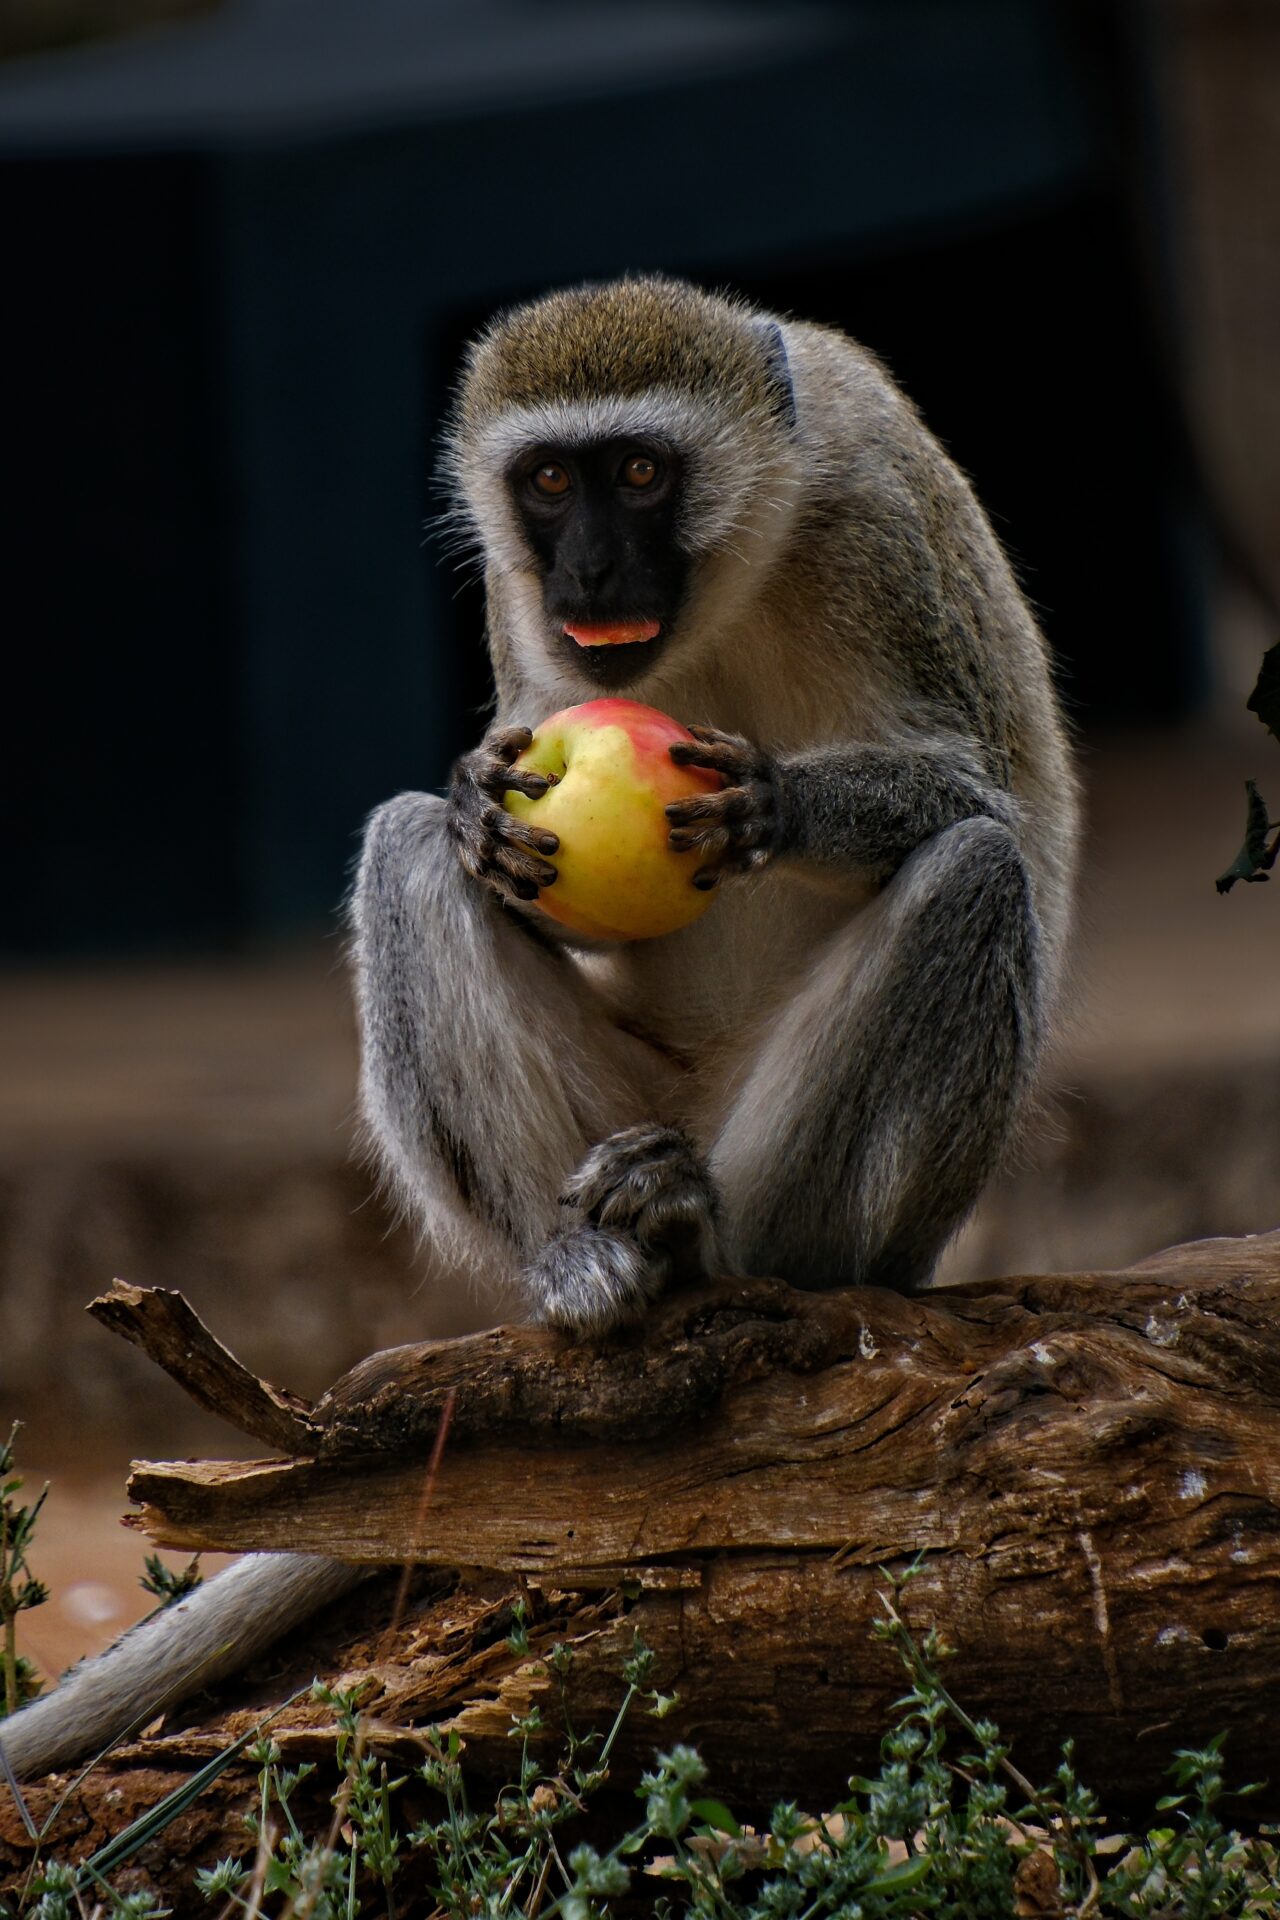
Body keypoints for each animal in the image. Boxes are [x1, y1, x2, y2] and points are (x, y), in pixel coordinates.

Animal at [0, 276, 1077, 1782]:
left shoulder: (879, 521)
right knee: (402, 848)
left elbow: (983, 797)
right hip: (611, 1106)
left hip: (813, 1190)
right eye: (550, 485)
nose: (590, 580)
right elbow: (468, 807)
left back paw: (713, 1239)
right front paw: (476, 803)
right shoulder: (525, 627)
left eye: (637, 474)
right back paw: (586, 1265)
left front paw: (777, 808)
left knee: (972, 875)